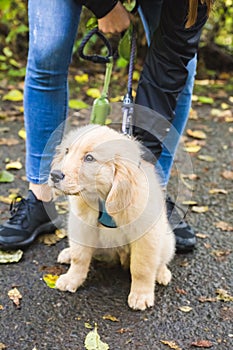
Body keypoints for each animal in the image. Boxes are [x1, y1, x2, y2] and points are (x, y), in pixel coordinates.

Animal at [49, 124, 175, 310]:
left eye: (89, 158)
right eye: (67, 151)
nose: (54, 175)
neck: (103, 197)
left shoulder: (146, 234)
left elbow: (142, 267)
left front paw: (141, 295)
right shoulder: (82, 225)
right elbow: (80, 257)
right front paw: (72, 279)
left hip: (166, 238)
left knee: (161, 258)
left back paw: (162, 273)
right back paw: (68, 253)